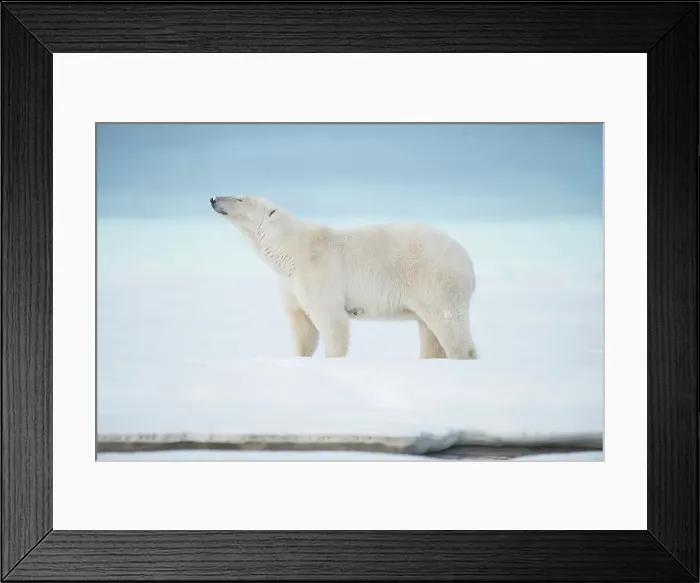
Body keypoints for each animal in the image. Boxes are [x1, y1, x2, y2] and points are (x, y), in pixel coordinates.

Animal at [210, 195, 478, 360]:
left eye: (240, 198)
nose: (213, 199)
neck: (290, 249)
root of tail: (467, 260)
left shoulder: (317, 272)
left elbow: (331, 320)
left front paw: (333, 360)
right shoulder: (290, 285)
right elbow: (302, 326)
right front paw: (298, 357)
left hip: (436, 280)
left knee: (447, 324)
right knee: (430, 333)